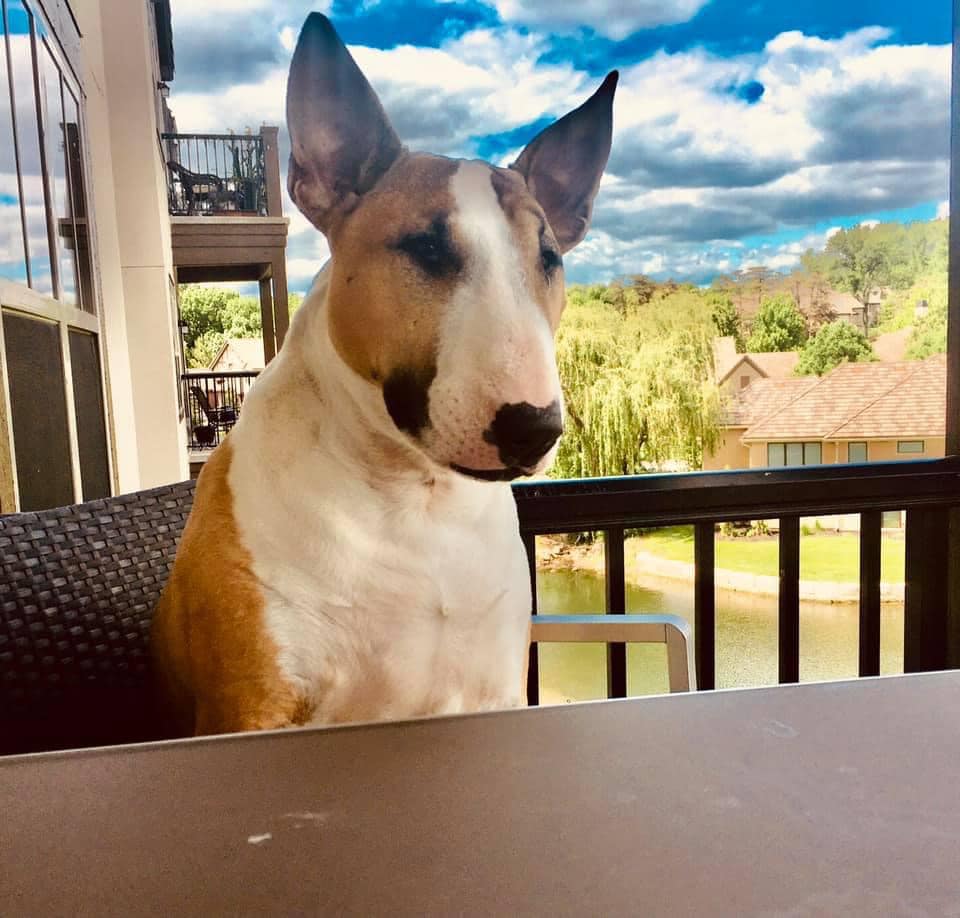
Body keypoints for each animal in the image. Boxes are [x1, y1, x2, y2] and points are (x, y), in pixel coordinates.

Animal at [150, 12, 616, 740]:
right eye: (424, 247)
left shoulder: (496, 688)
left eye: (549, 258)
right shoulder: (248, 710)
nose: (533, 429)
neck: (413, 499)